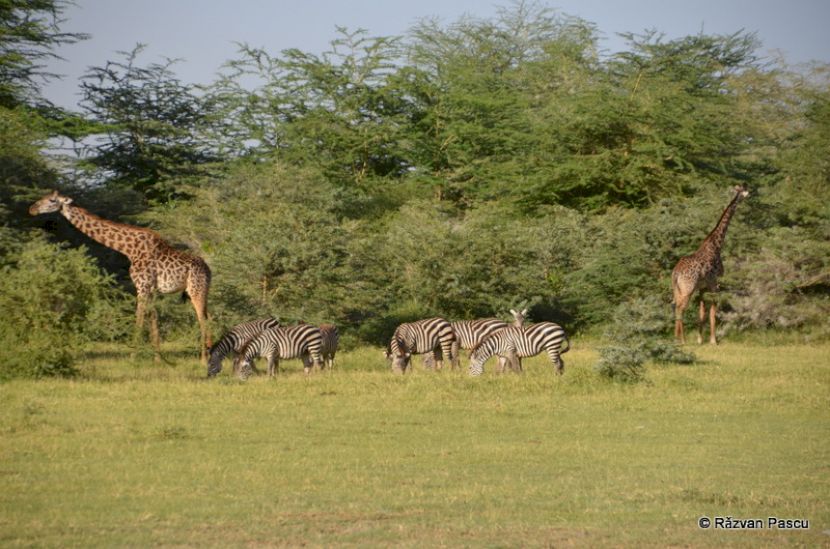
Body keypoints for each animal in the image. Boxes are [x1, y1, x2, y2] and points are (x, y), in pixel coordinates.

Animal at [29, 190, 212, 362]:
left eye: (52, 200)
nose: (32, 209)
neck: (129, 250)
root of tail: (208, 270)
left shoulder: (142, 287)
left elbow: (139, 320)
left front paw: (132, 357)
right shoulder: (151, 289)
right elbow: (154, 321)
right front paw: (158, 359)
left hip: (195, 290)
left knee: (202, 319)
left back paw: (203, 359)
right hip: (199, 291)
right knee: (209, 316)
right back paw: (210, 354)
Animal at [672, 185, 749, 345]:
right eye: (744, 191)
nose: (749, 194)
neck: (716, 244)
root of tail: (676, 273)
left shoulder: (702, 287)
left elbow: (701, 314)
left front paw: (700, 339)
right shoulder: (714, 283)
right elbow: (713, 312)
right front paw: (713, 340)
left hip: (677, 289)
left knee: (676, 306)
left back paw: (675, 339)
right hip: (688, 288)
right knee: (681, 308)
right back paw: (682, 340)